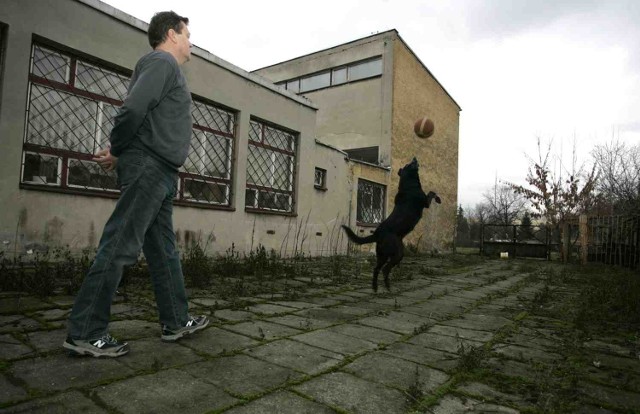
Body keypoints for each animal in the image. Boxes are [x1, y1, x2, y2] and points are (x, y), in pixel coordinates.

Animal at [340, 158, 440, 292]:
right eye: (408, 164)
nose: (414, 158)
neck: (409, 183)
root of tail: (377, 234)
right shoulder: (425, 202)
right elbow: (432, 192)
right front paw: (438, 198)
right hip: (396, 254)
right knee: (385, 269)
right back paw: (387, 287)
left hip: (383, 255)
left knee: (377, 268)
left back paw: (376, 288)